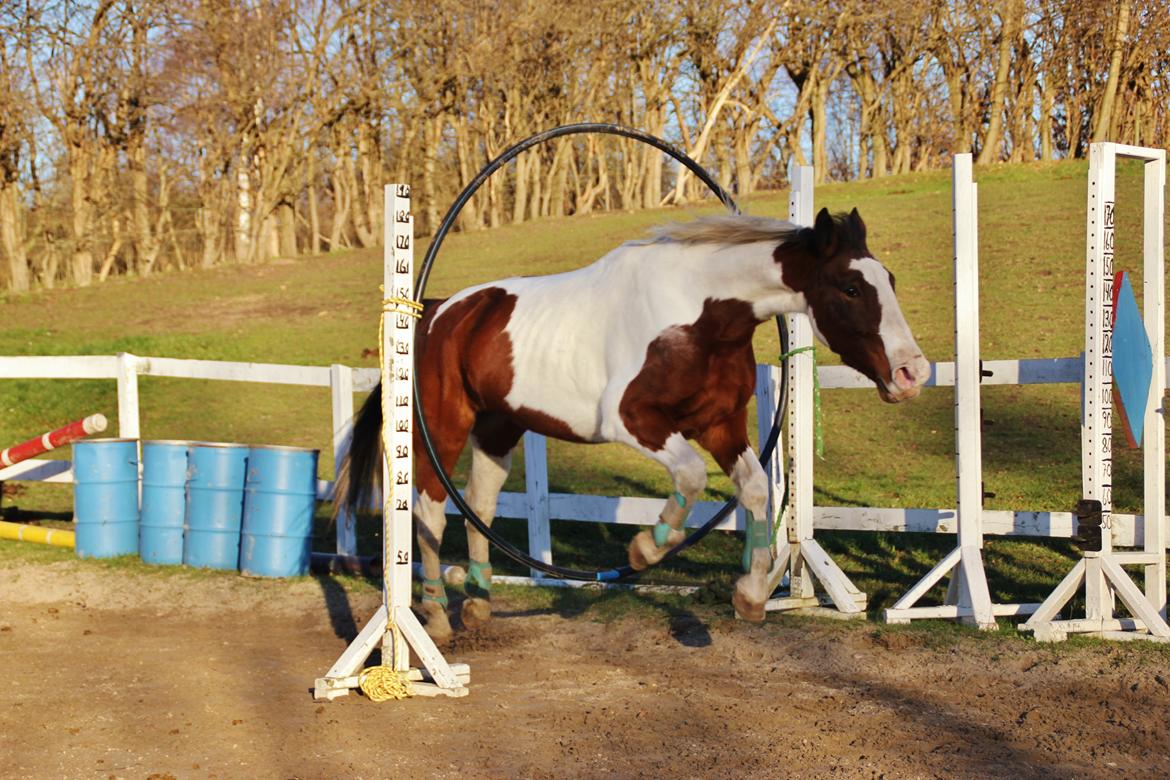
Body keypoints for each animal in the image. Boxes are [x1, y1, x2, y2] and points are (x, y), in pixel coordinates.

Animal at [336, 205, 921, 636]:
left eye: (891, 279)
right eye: (850, 287)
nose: (911, 373)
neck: (698, 314)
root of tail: (435, 311)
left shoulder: (721, 426)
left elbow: (755, 490)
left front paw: (751, 595)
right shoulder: (632, 419)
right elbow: (690, 475)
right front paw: (646, 549)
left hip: (499, 429)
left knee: (479, 503)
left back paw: (478, 599)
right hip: (443, 426)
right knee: (431, 511)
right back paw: (435, 614)